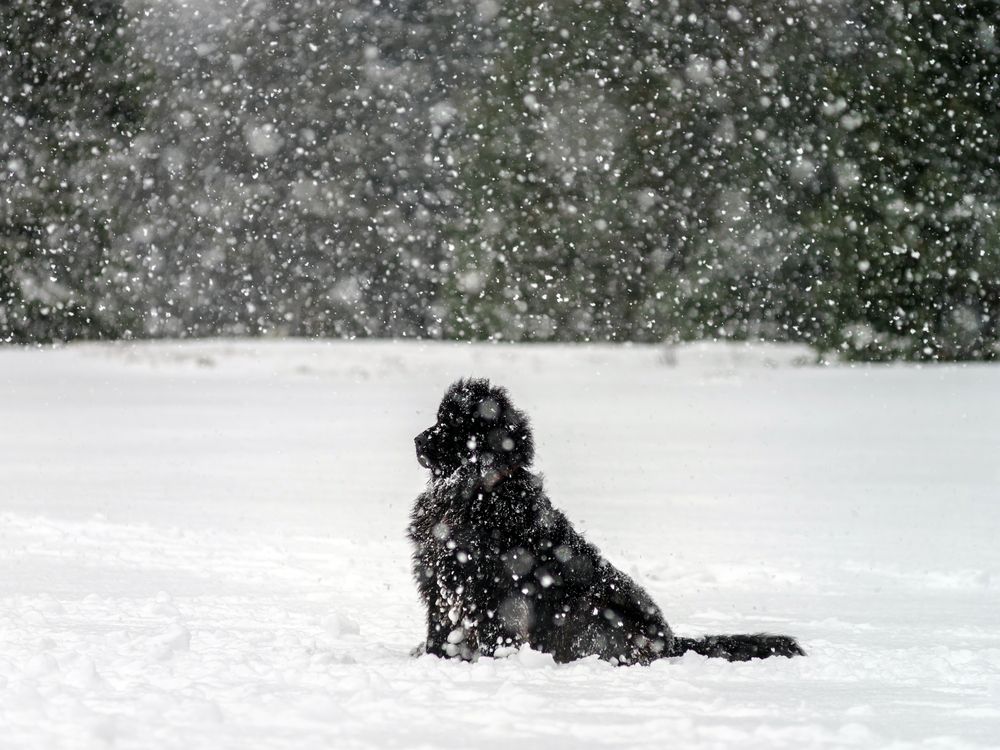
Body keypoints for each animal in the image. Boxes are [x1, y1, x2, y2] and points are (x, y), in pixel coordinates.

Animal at [406, 378, 804, 668]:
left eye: (454, 425)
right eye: (439, 419)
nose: (418, 439)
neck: (480, 491)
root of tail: (672, 641)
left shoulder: (491, 591)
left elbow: (491, 635)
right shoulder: (439, 583)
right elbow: (440, 631)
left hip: (596, 618)